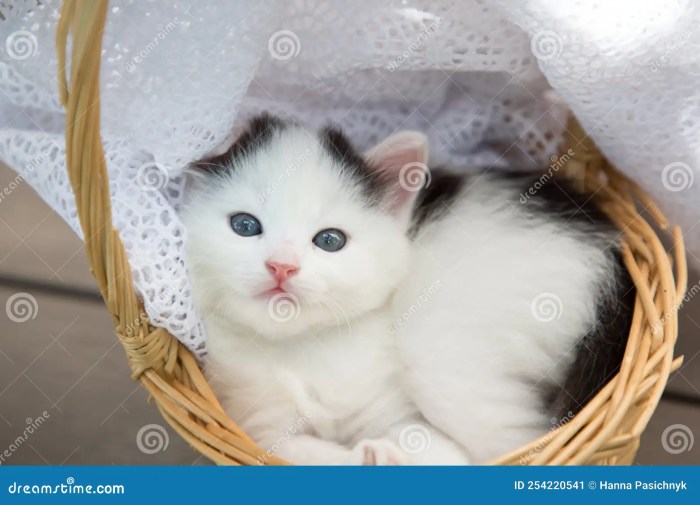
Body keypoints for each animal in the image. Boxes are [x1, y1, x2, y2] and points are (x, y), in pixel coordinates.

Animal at [180, 114, 636, 464]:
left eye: (329, 240)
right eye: (244, 226)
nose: (282, 266)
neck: (302, 349)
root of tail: (609, 245)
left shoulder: (395, 408)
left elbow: (439, 451)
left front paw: (384, 453)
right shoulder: (256, 426)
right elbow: (299, 453)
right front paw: (362, 456)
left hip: (444, 349)